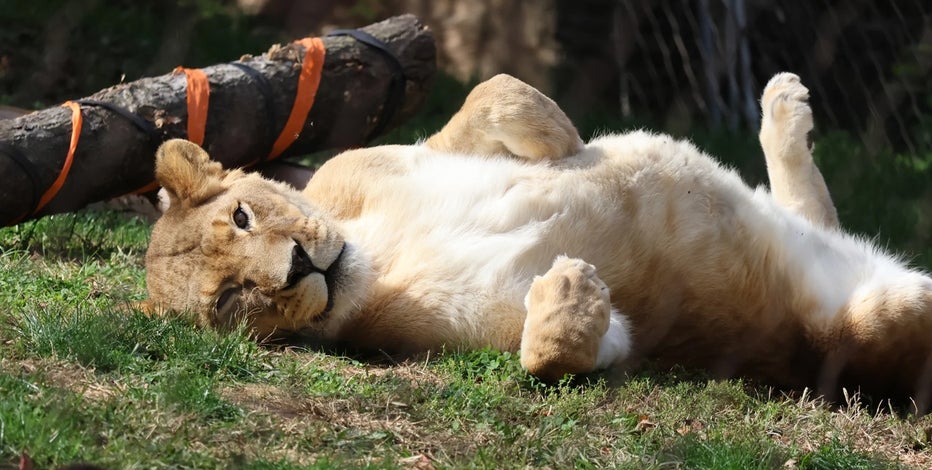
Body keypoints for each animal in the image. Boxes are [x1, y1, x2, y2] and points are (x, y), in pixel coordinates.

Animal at [143, 73, 932, 406]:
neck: (381, 253)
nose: (298, 267)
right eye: (231, 301)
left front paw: (568, 142)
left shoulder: (383, 159)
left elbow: (490, 92)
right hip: (876, 320)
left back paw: (782, 102)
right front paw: (570, 295)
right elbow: (558, 356)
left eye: (242, 217)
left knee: (812, 210)